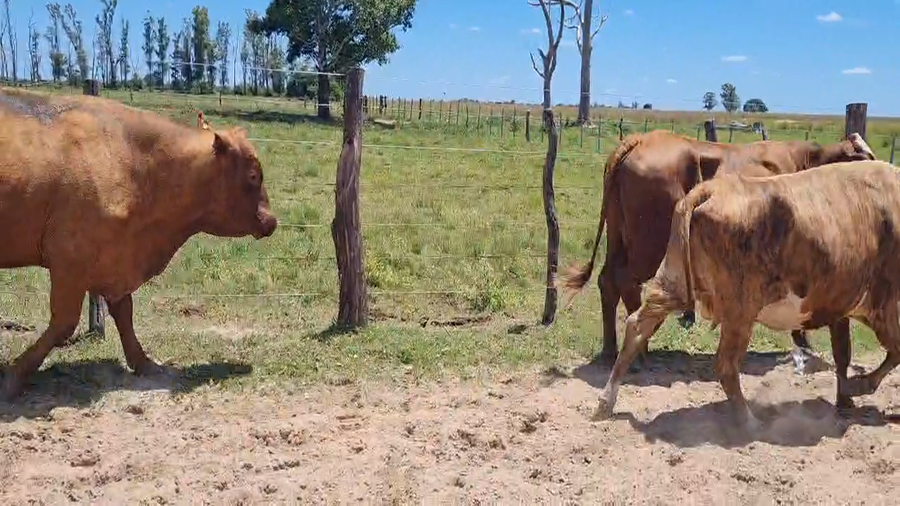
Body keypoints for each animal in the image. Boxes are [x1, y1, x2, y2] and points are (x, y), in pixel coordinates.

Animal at [0, 88, 277, 400]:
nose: (272, 220)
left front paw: (145, 363)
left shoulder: (114, 260)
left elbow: (124, 314)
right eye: (253, 175)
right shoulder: (70, 262)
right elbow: (63, 324)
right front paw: (13, 377)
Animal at [559, 129, 876, 373]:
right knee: (627, 283)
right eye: (864, 158)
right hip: (647, 247)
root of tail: (641, 139)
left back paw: (611, 351)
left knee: (608, 282)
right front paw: (803, 341)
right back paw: (638, 352)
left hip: (619, 238)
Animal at [591, 160, 900, 428]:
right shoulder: (884, 306)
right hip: (740, 310)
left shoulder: (840, 305)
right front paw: (859, 386)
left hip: (672, 283)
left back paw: (605, 403)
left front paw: (845, 398)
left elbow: (843, 353)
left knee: (637, 326)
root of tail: (710, 190)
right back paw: (749, 421)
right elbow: (894, 352)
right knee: (726, 365)